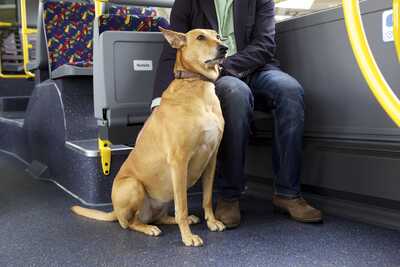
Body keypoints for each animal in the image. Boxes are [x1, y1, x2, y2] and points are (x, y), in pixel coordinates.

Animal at [72, 28, 228, 248]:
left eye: (218, 36)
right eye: (200, 37)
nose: (225, 48)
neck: (196, 85)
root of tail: (114, 211)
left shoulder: (211, 159)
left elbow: (206, 198)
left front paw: (211, 221)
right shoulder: (179, 161)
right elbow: (183, 206)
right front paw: (187, 237)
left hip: (165, 196)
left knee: (160, 216)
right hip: (133, 186)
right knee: (130, 223)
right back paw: (149, 228)